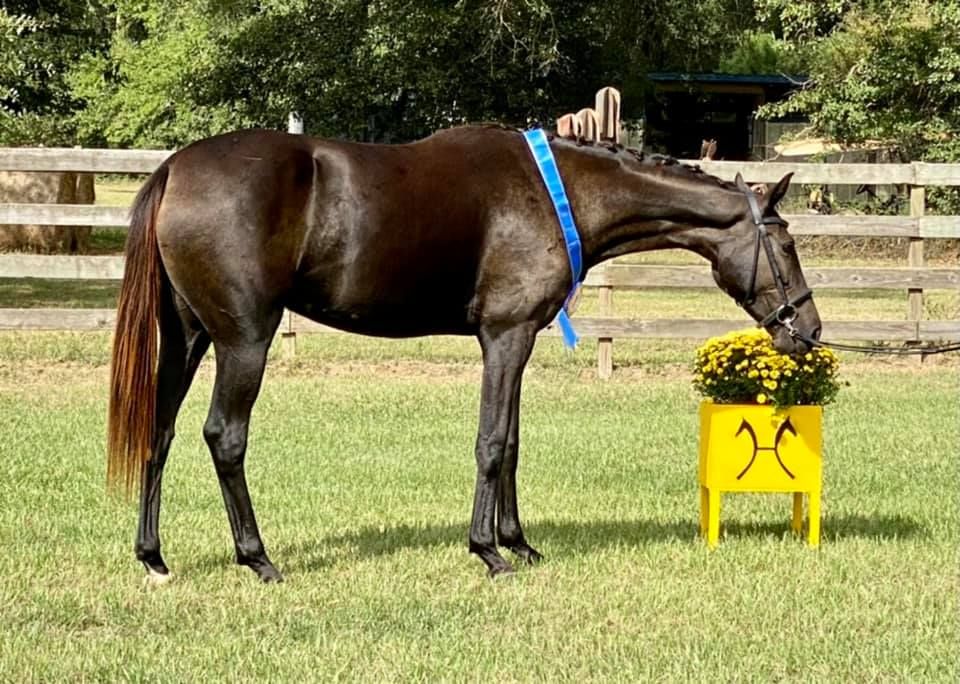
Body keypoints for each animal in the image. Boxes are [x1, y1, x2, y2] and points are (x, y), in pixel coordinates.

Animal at [107, 124, 821, 583]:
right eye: (786, 246)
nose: (808, 329)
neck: (558, 194)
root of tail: (175, 168)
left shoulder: (518, 340)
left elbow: (512, 442)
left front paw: (519, 543)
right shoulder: (505, 336)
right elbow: (491, 442)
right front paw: (488, 551)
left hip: (188, 337)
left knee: (160, 431)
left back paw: (153, 557)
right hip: (243, 341)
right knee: (223, 436)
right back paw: (257, 558)